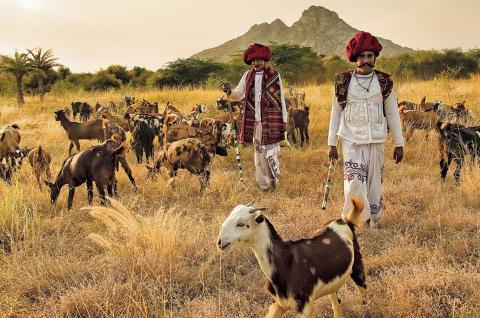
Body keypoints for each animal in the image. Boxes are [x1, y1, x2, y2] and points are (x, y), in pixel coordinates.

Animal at [218, 198, 368, 316]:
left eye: (241, 224)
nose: (220, 242)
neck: (285, 262)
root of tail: (344, 221)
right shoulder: (280, 304)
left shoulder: (305, 306)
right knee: (336, 301)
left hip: (357, 266)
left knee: (363, 290)